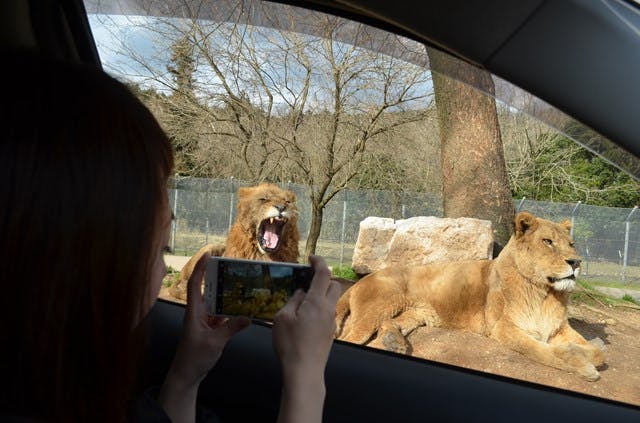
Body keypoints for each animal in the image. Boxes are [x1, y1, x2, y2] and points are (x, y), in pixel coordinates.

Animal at [336, 212, 604, 380]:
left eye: (571, 244)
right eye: (547, 242)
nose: (576, 261)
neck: (545, 292)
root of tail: (362, 280)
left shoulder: (559, 327)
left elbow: (596, 351)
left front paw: (590, 349)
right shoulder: (503, 327)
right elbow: (539, 350)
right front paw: (580, 363)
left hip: (413, 314)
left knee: (388, 324)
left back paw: (395, 342)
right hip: (379, 307)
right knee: (350, 337)